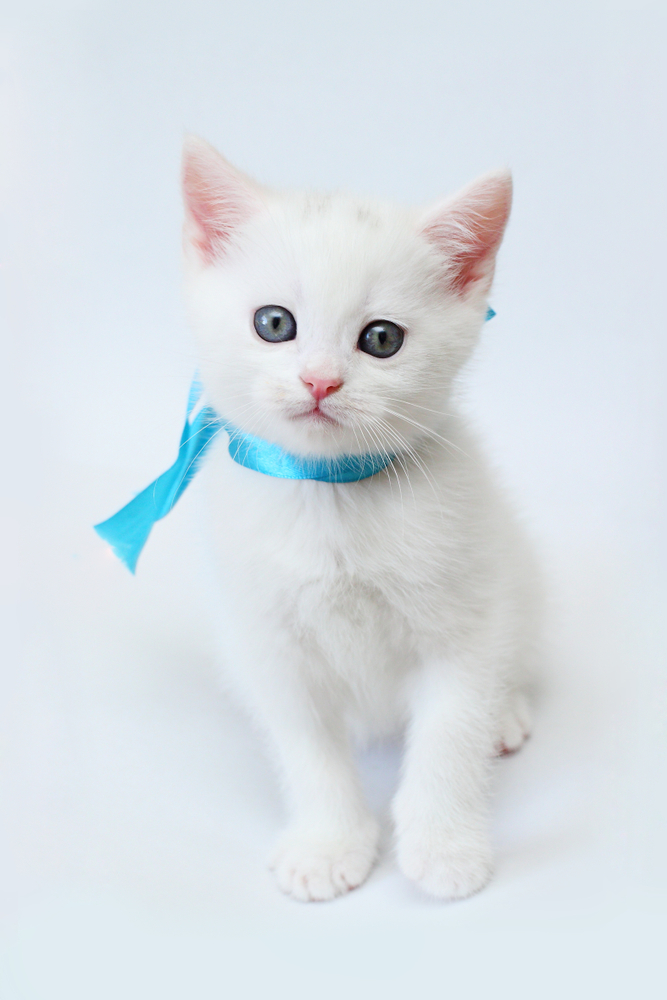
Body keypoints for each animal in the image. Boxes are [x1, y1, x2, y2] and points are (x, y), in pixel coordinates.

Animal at [180, 137, 540, 904]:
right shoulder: (269, 645)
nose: (320, 381)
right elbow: (308, 753)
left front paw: (443, 847)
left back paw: (507, 713)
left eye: (380, 339)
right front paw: (328, 844)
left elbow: (450, 734)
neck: (333, 497)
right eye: (274, 324)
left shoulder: (463, 623)